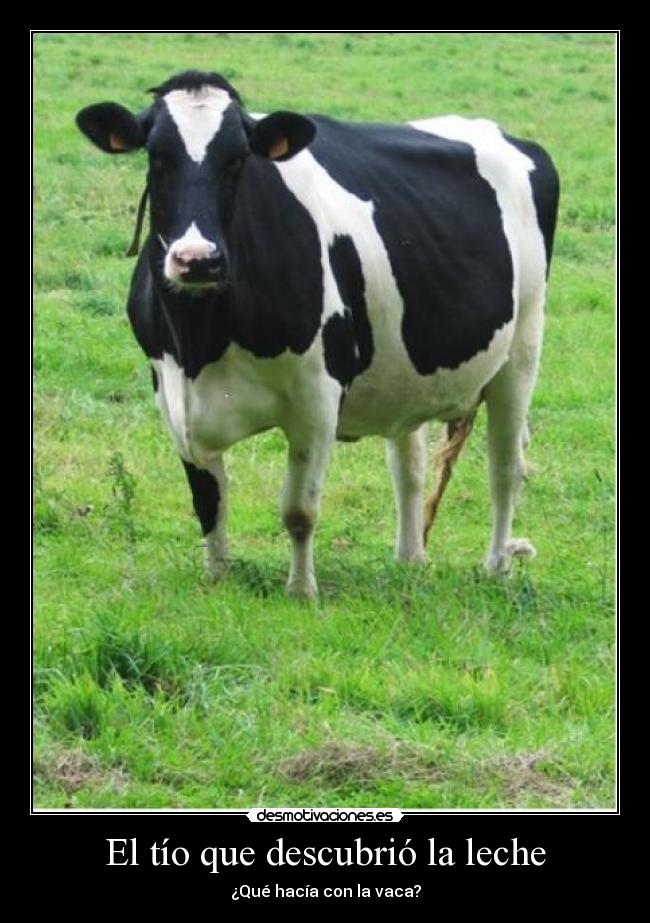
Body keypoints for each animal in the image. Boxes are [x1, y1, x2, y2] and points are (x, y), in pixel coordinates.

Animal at [76, 70, 559, 599]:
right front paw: (218, 577)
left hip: (522, 350)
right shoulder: (173, 394)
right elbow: (208, 503)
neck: (202, 340)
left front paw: (301, 591)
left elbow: (299, 510)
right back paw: (409, 560)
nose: (197, 260)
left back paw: (496, 566)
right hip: (406, 371)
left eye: (237, 159)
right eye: (156, 157)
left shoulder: (317, 395)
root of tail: (505, 134)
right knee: (408, 467)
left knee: (505, 468)